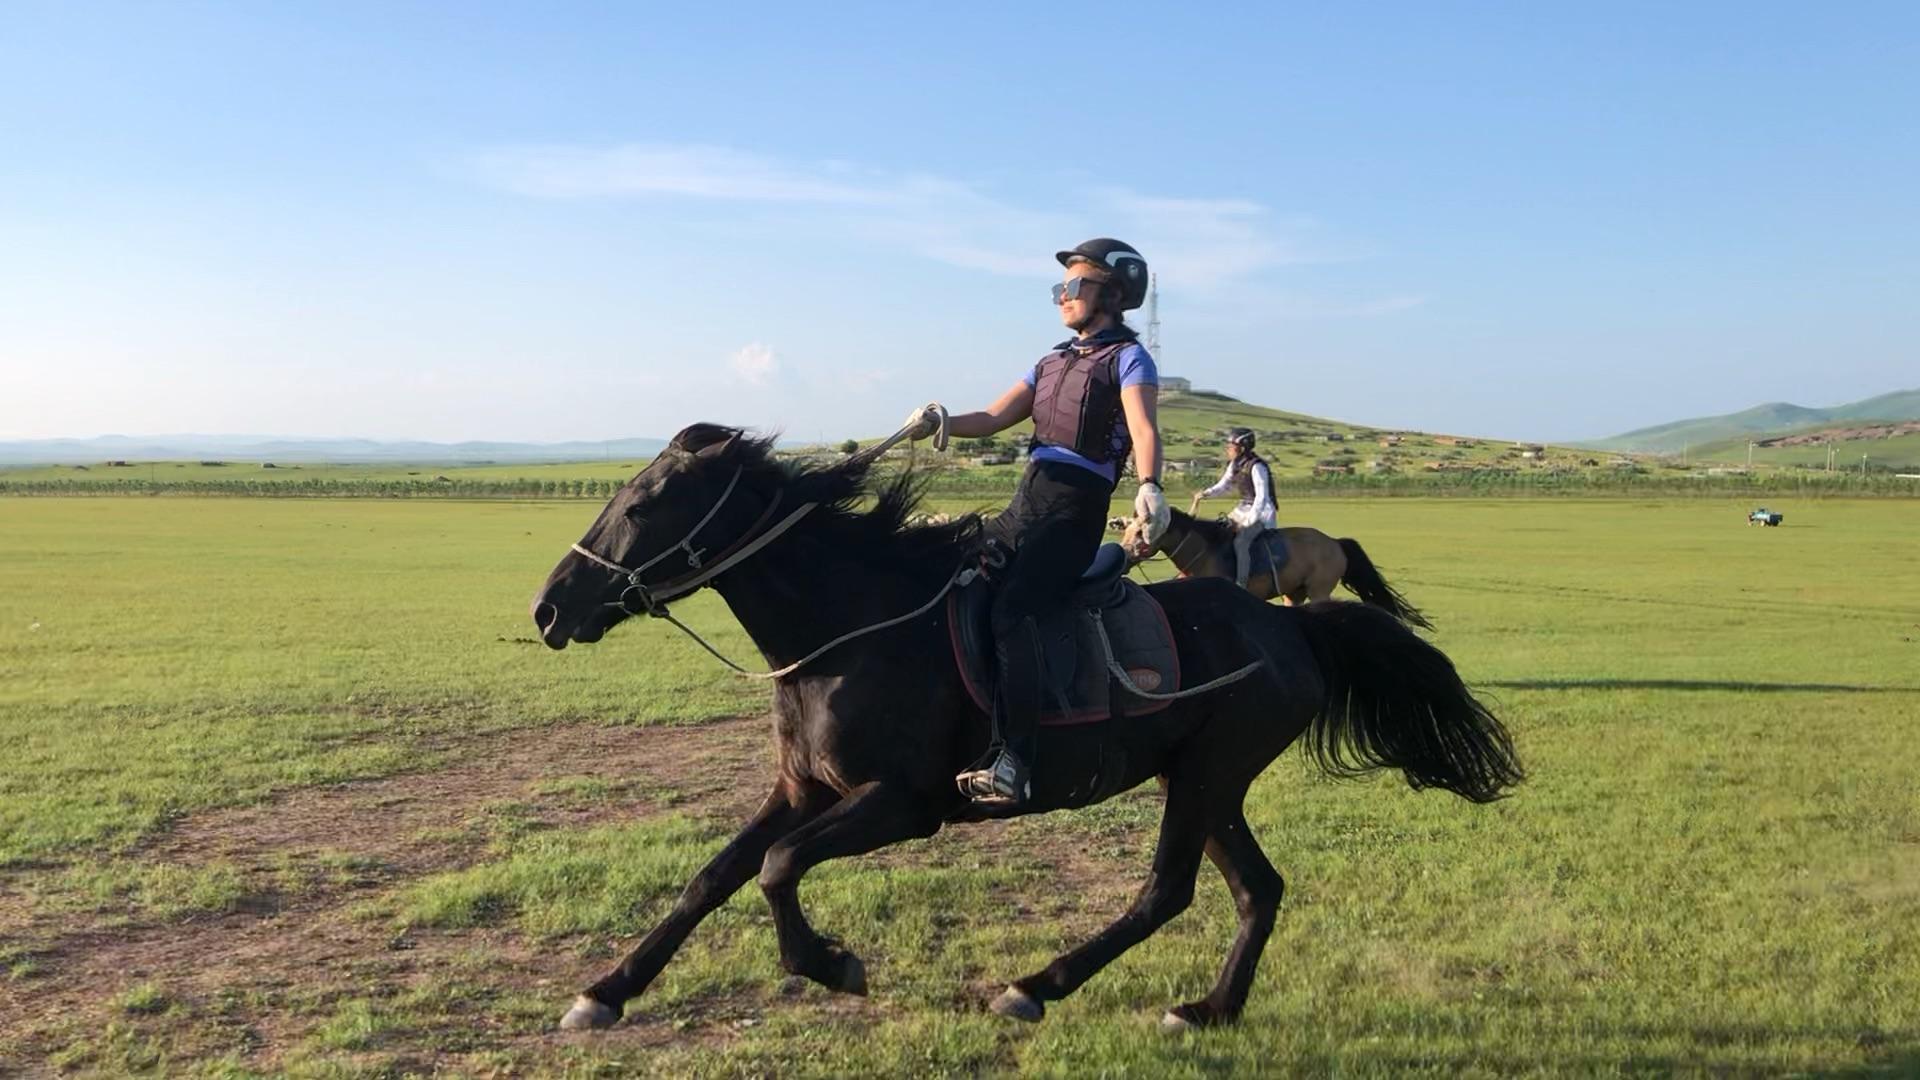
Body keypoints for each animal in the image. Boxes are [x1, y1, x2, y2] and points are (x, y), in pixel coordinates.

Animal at [533, 420, 1520, 1022]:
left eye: (643, 504)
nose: (548, 609)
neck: (851, 631)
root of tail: (1288, 626)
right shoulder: (802, 789)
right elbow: (713, 877)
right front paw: (607, 991)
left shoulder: (905, 804)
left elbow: (776, 870)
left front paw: (832, 965)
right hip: (1205, 778)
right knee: (1258, 890)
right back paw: (1210, 1010)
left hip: (1208, 774)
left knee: (1167, 892)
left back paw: (1038, 985)